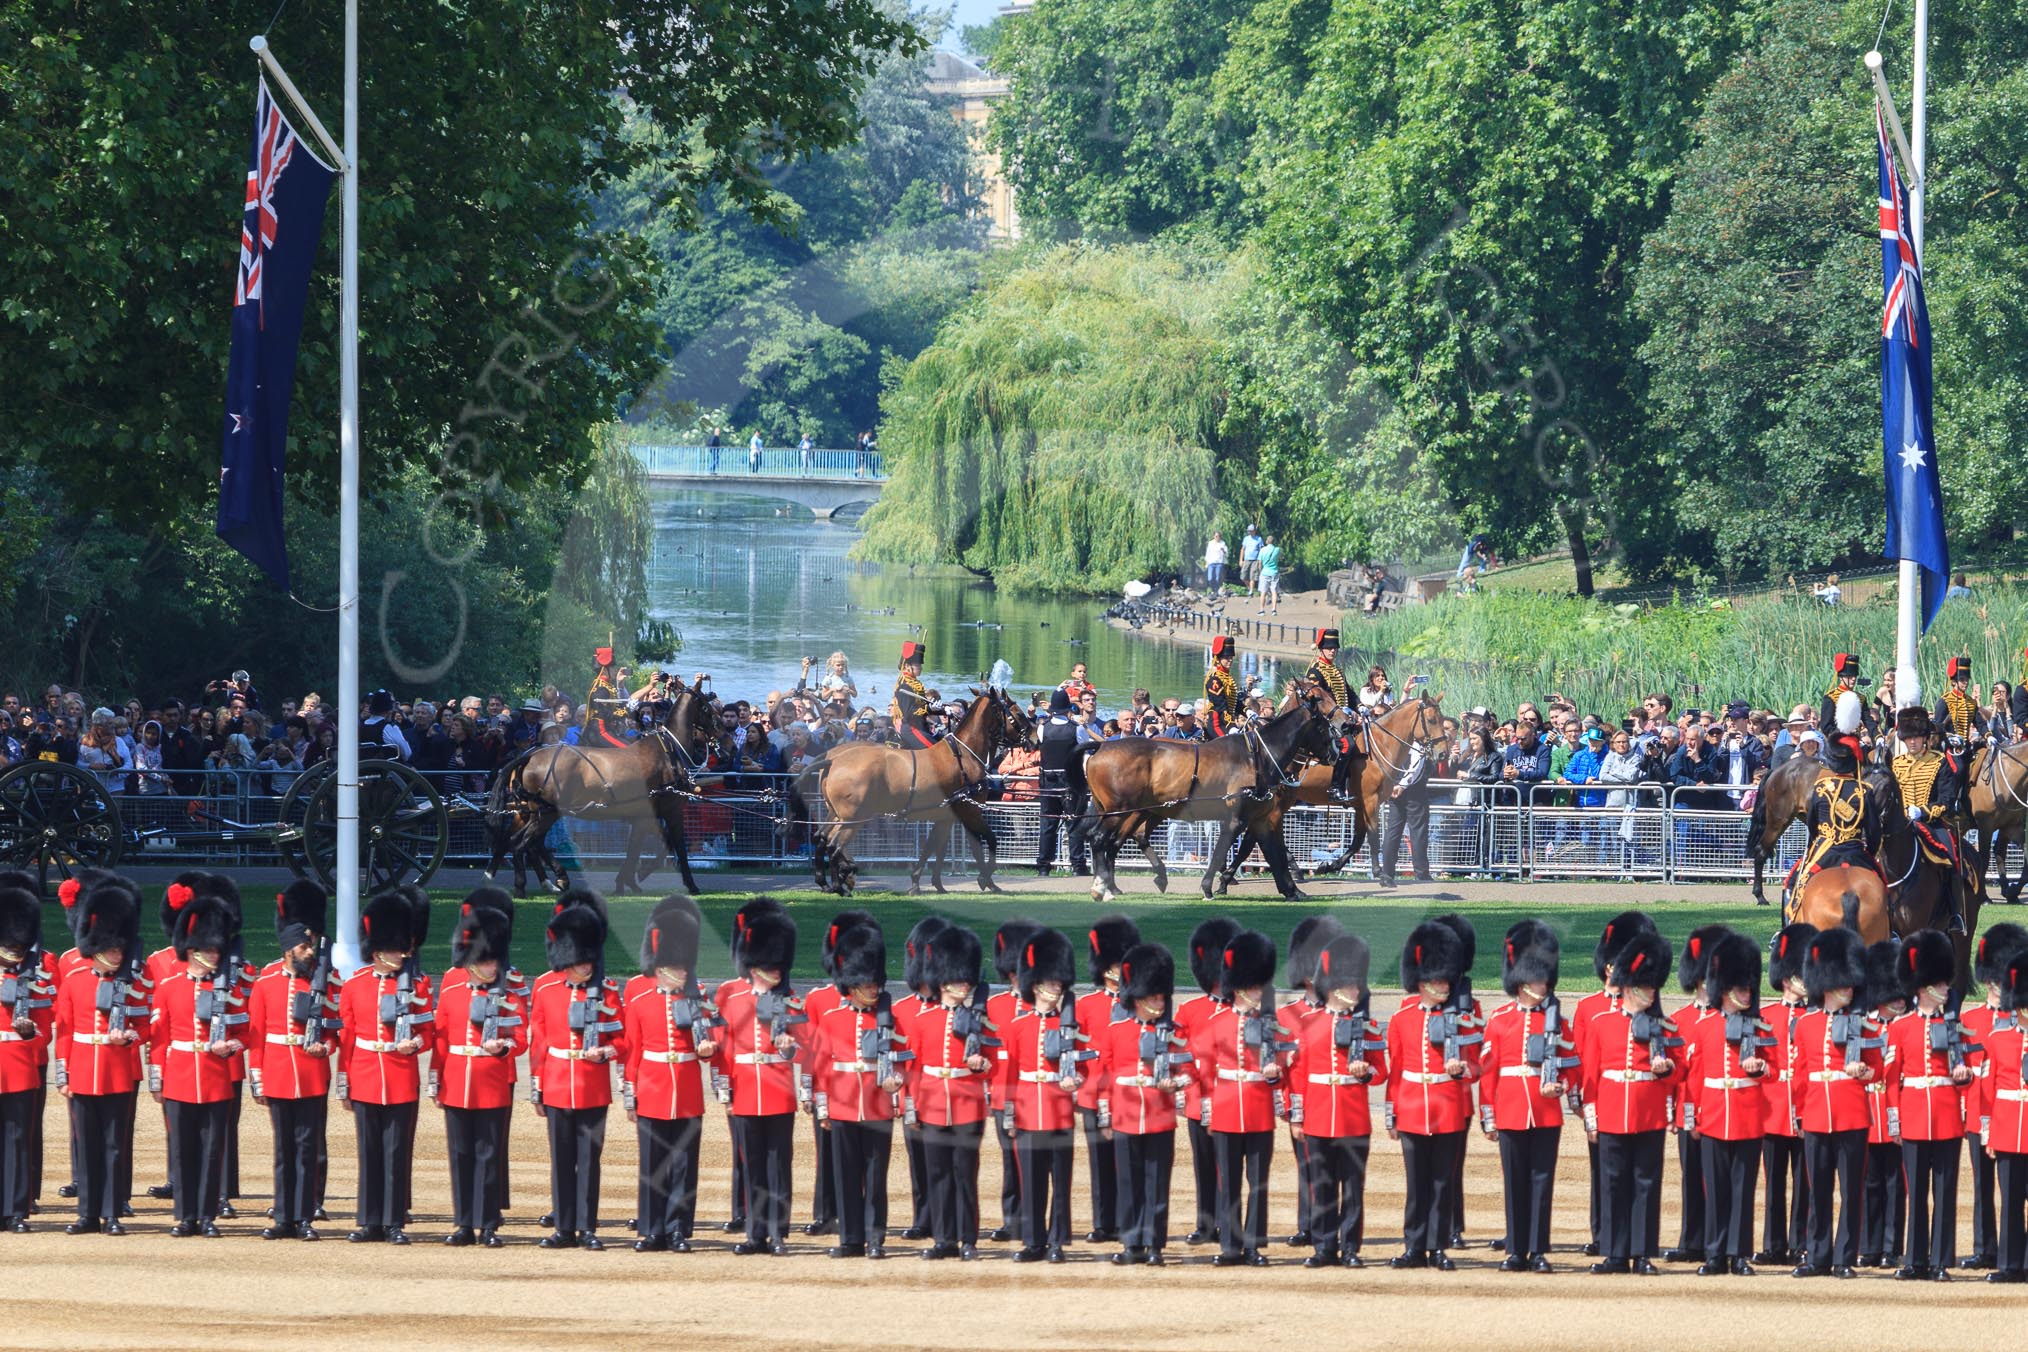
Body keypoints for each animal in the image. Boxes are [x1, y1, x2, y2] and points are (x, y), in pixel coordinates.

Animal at [799, 689, 1038, 899]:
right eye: (1018, 713)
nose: (1035, 739)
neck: (964, 755)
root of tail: (833, 760)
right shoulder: (970, 810)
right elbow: (987, 842)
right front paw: (986, 879)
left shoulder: (947, 816)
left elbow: (935, 848)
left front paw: (927, 883)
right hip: (853, 818)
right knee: (833, 845)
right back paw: (841, 884)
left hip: (838, 815)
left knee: (822, 839)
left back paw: (829, 881)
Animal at [1078, 681, 1346, 904]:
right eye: (1323, 725)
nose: (1339, 744)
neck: (1259, 756)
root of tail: (1101, 747)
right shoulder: (1239, 819)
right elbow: (1223, 852)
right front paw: (1211, 886)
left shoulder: (1261, 819)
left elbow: (1272, 852)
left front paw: (1290, 889)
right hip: (1122, 811)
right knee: (1101, 839)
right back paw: (1103, 887)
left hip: (1133, 811)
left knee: (1112, 840)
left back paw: (1116, 884)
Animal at [1208, 693, 1452, 891]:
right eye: (1432, 720)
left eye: (1442, 720)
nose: (1442, 754)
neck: (1379, 747)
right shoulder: (1371, 801)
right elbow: (1373, 837)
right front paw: (1382, 875)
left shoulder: (1360, 804)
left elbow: (1357, 840)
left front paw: (1329, 865)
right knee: (1252, 837)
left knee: (1253, 836)